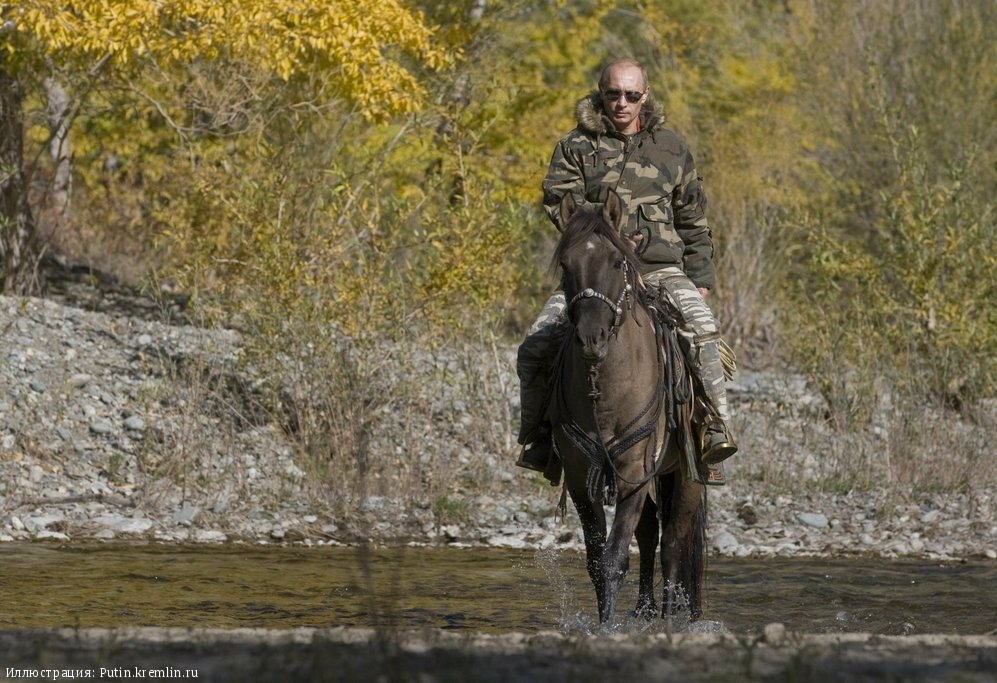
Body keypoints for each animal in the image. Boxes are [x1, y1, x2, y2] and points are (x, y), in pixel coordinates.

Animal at [548, 188, 704, 624]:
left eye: (617, 262)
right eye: (566, 264)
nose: (592, 338)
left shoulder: (635, 470)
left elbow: (616, 557)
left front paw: (607, 627)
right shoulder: (581, 477)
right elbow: (597, 561)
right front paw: (605, 622)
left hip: (686, 476)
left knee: (673, 544)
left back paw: (668, 618)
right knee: (650, 535)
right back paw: (645, 610)